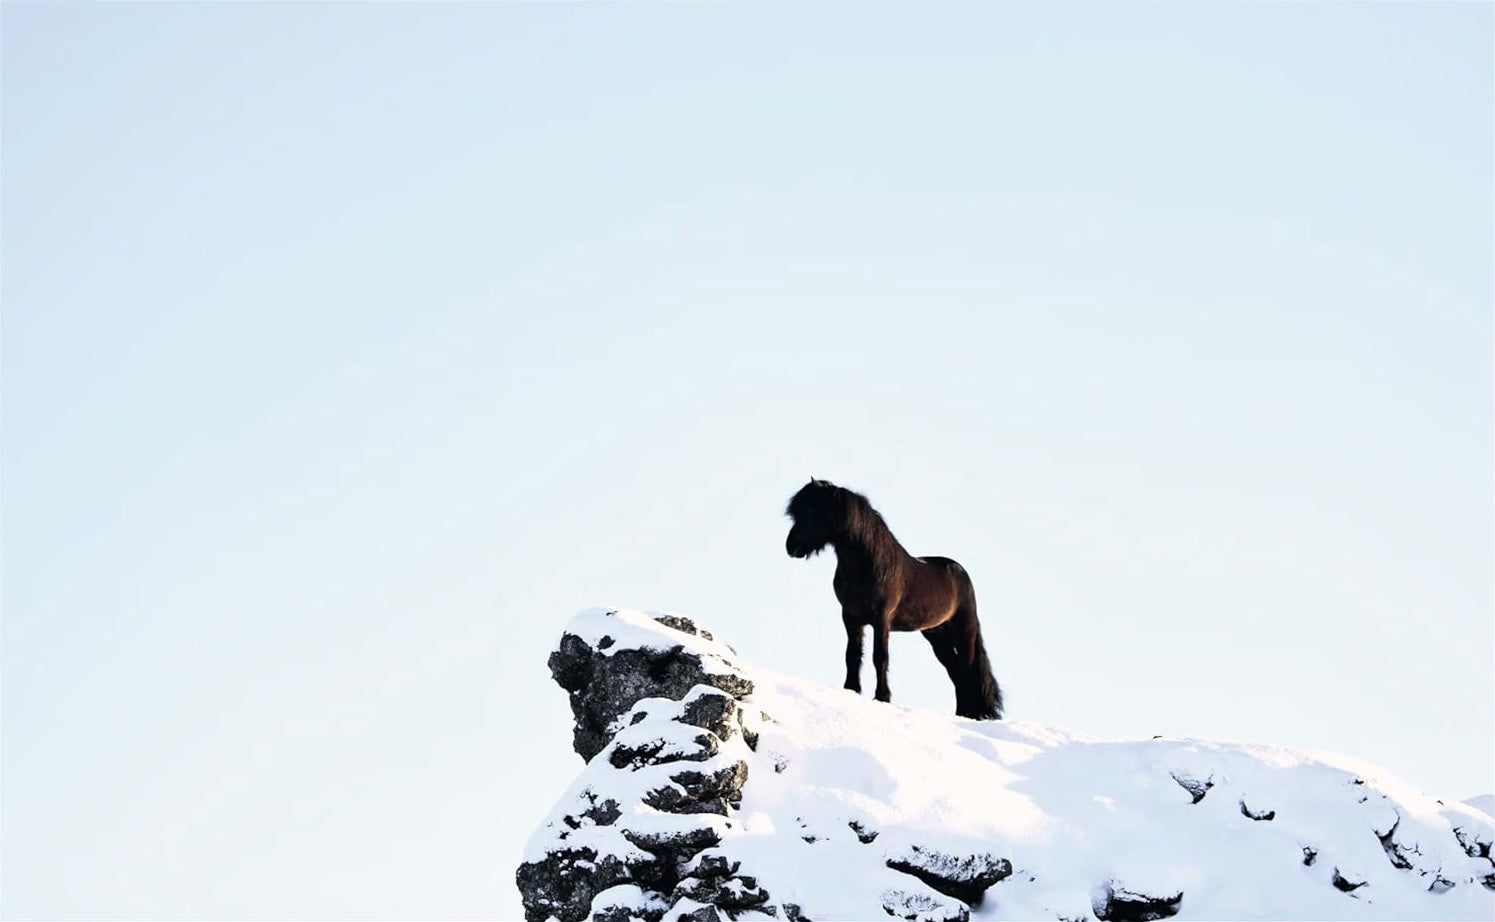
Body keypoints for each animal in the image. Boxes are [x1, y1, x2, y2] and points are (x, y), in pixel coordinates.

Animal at [784, 478, 1004, 720]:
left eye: (813, 511)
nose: (791, 547)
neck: (869, 565)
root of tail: (960, 572)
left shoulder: (881, 619)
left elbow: (879, 657)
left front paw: (882, 697)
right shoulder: (851, 617)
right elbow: (852, 655)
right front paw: (851, 689)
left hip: (964, 630)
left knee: (966, 670)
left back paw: (970, 714)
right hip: (937, 635)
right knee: (955, 672)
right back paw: (962, 713)